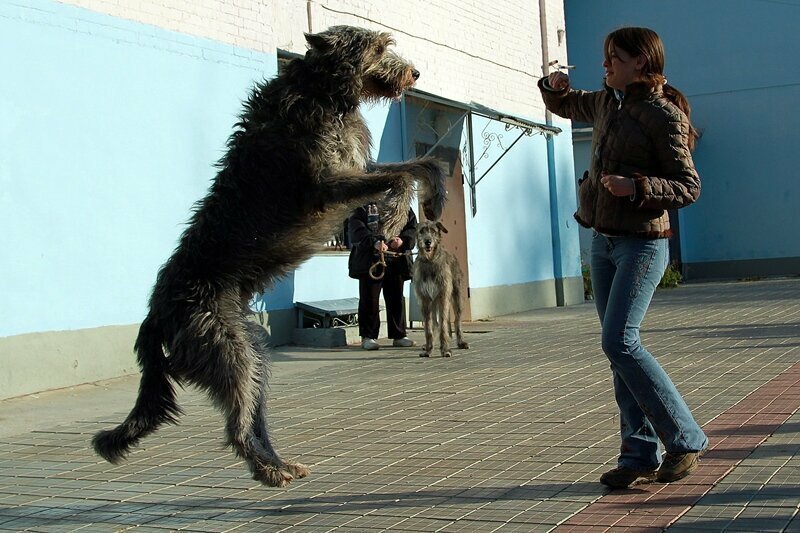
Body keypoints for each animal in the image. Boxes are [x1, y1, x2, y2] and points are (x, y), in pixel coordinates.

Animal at [92, 27, 450, 488]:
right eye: (378, 47)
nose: (415, 73)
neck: (325, 95)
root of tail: (155, 313)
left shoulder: (358, 166)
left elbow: (421, 163)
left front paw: (433, 196)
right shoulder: (324, 184)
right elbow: (401, 175)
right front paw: (390, 219)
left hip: (250, 350)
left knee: (252, 418)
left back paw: (279, 463)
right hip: (228, 350)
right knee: (237, 426)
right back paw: (268, 470)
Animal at [412, 220, 468, 358]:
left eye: (433, 231)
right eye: (421, 231)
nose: (427, 242)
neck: (430, 260)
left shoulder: (443, 296)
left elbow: (443, 325)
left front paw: (446, 349)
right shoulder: (425, 299)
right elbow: (428, 327)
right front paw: (428, 349)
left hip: (456, 298)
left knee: (456, 321)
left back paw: (461, 342)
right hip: (433, 303)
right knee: (434, 323)